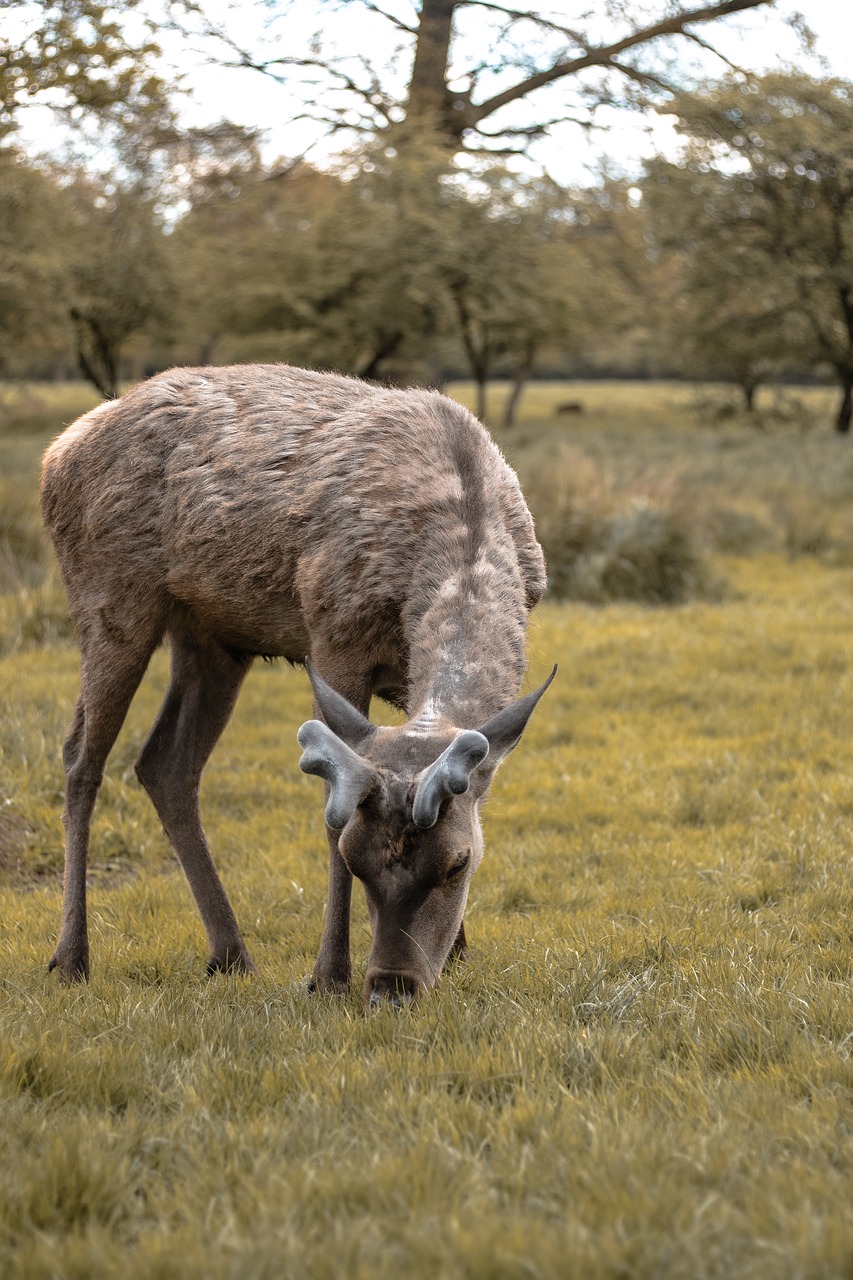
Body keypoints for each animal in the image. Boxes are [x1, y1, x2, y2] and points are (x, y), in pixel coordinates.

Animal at [39, 366, 548, 1003]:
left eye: (459, 862)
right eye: (357, 862)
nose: (392, 985)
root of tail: (57, 452)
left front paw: (457, 953)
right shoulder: (333, 630)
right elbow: (332, 812)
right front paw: (329, 975)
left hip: (212, 637)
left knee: (165, 764)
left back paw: (230, 953)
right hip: (107, 596)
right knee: (81, 757)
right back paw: (71, 957)